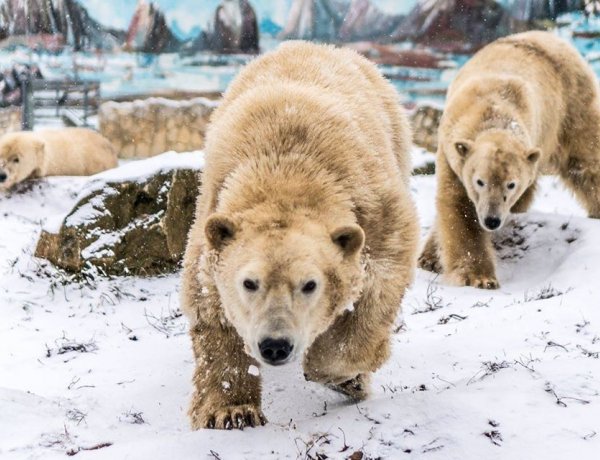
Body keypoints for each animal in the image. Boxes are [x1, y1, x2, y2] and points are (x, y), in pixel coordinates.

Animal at [180, 41, 420, 430]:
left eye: (310, 285)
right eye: (249, 283)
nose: (275, 345)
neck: (287, 171)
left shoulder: (375, 209)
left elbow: (380, 281)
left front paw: (347, 377)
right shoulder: (214, 215)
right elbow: (210, 305)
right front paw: (232, 410)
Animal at [420, 32, 600, 290]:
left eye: (511, 184)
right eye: (480, 181)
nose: (492, 220)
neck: (492, 110)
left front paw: (480, 278)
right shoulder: (452, 156)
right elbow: (460, 208)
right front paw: (478, 277)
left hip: (572, 107)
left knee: (585, 159)